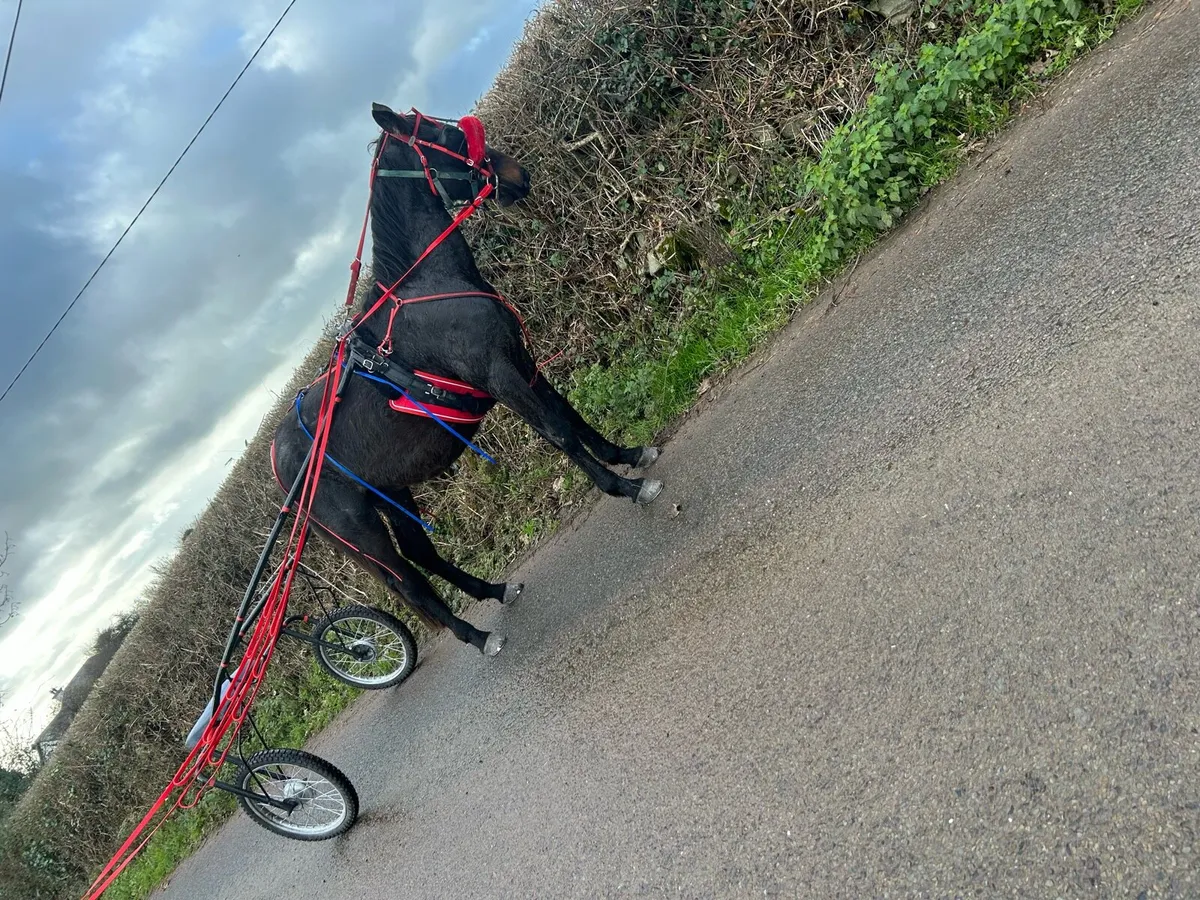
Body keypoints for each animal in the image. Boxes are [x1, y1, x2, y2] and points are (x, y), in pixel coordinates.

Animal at [271, 103, 663, 658]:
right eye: (446, 135)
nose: (518, 176)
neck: (430, 285)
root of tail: (282, 469)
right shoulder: (499, 374)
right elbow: (557, 433)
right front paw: (624, 486)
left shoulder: (519, 360)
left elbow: (568, 415)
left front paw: (627, 455)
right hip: (357, 529)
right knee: (409, 582)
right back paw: (477, 636)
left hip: (391, 493)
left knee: (424, 555)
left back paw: (495, 591)